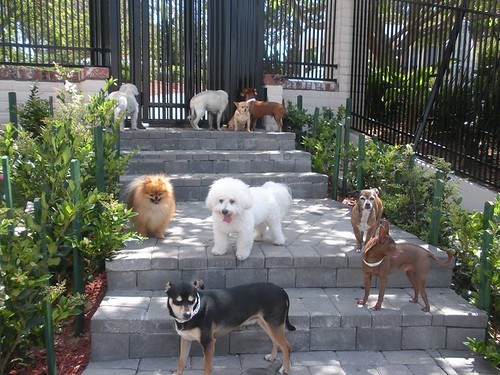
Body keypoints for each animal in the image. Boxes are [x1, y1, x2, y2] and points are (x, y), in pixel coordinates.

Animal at [166, 280, 294, 374]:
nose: (187, 314)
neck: (198, 310)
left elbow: (207, 367)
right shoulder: (185, 339)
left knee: (286, 346)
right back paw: (272, 357)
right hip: (267, 325)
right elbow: (181, 360)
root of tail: (281, 289)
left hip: (274, 325)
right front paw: (177, 373)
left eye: (192, 300)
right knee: (275, 342)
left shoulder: (208, 343)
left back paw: (286, 368)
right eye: (178, 301)